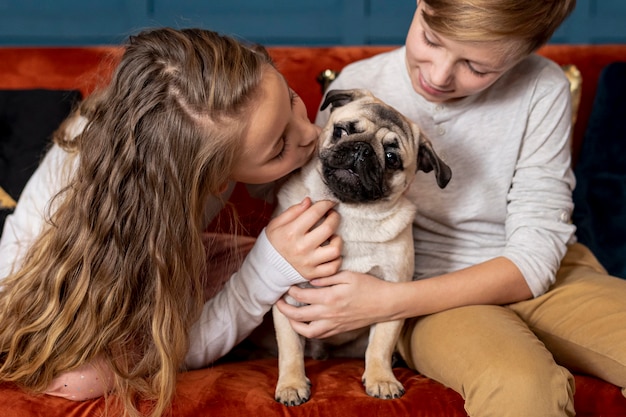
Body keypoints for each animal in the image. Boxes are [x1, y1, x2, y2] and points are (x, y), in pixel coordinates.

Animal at [270, 89, 450, 404]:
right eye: (342, 131)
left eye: (391, 158)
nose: (362, 150)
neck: (349, 211)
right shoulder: (287, 299)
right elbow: (290, 348)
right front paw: (291, 384)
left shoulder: (392, 294)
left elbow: (379, 345)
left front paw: (381, 379)